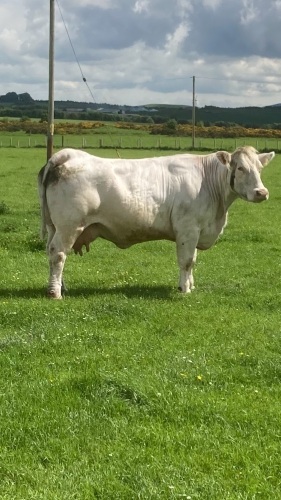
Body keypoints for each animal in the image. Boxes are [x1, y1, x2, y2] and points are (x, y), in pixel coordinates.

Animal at [37, 146, 274, 298]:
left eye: (260, 169)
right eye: (240, 168)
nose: (261, 192)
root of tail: (64, 155)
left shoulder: (196, 230)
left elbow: (193, 261)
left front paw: (191, 285)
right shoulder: (188, 229)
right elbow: (186, 261)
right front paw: (184, 289)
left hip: (54, 226)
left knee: (53, 253)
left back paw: (61, 286)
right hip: (69, 225)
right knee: (58, 254)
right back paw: (55, 292)